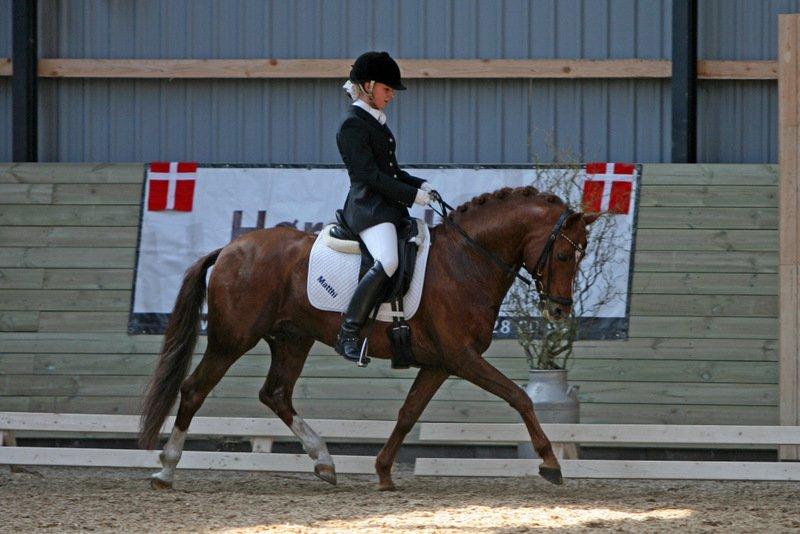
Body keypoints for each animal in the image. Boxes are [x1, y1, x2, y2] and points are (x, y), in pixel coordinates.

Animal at [141, 186, 596, 492]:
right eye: (562, 255)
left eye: (582, 255)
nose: (559, 311)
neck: (467, 260)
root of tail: (231, 248)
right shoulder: (462, 357)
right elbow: (519, 397)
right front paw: (550, 463)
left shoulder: (439, 363)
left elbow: (408, 414)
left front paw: (383, 471)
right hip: (232, 339)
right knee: (194, 389)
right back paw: (165, 469)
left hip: (291, 339)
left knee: (276, 394)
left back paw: (324, 462)